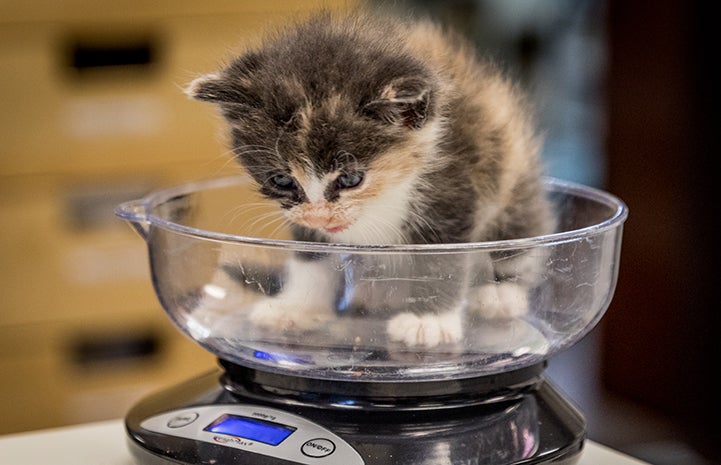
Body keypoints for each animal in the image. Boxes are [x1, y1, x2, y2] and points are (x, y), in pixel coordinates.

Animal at [184, 10, 552, 348]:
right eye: (282, 180)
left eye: (351, 179)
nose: (320, 217)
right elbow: (310, 254)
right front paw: (297, 308)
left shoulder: (453, 186)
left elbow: (439, 260)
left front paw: (428, 323)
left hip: (511, 185)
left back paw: (499, 295)